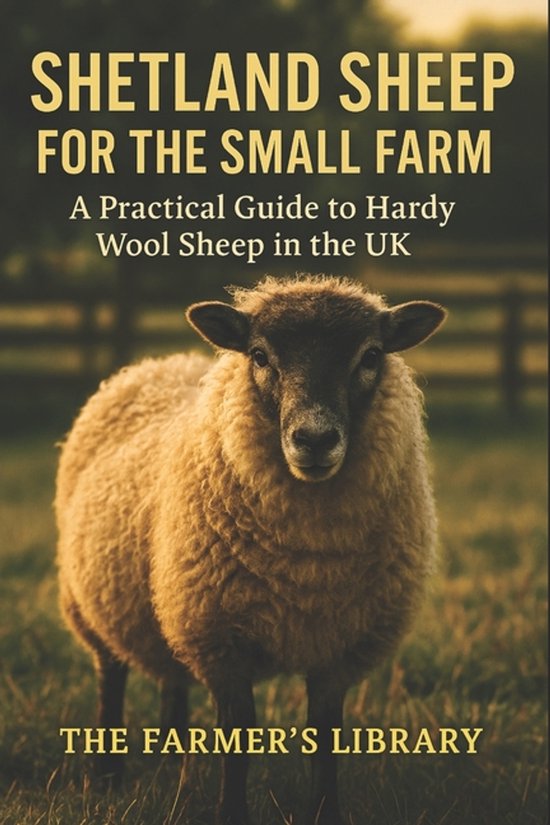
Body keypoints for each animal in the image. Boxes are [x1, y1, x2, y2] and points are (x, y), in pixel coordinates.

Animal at [55, 274, 446, 825]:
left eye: (371, 355)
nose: (314, 439)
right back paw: (107, 775)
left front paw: (325, 810)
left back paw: (173, 754)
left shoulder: (338, 645)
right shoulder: (222, 638)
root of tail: (157, 363)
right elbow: (237, 738)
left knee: (170, 674)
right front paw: (230, 810)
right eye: (260, 355)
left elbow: (326, 736)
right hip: (92, 602)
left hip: (169, 601)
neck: (308, 563)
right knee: (110, 675)